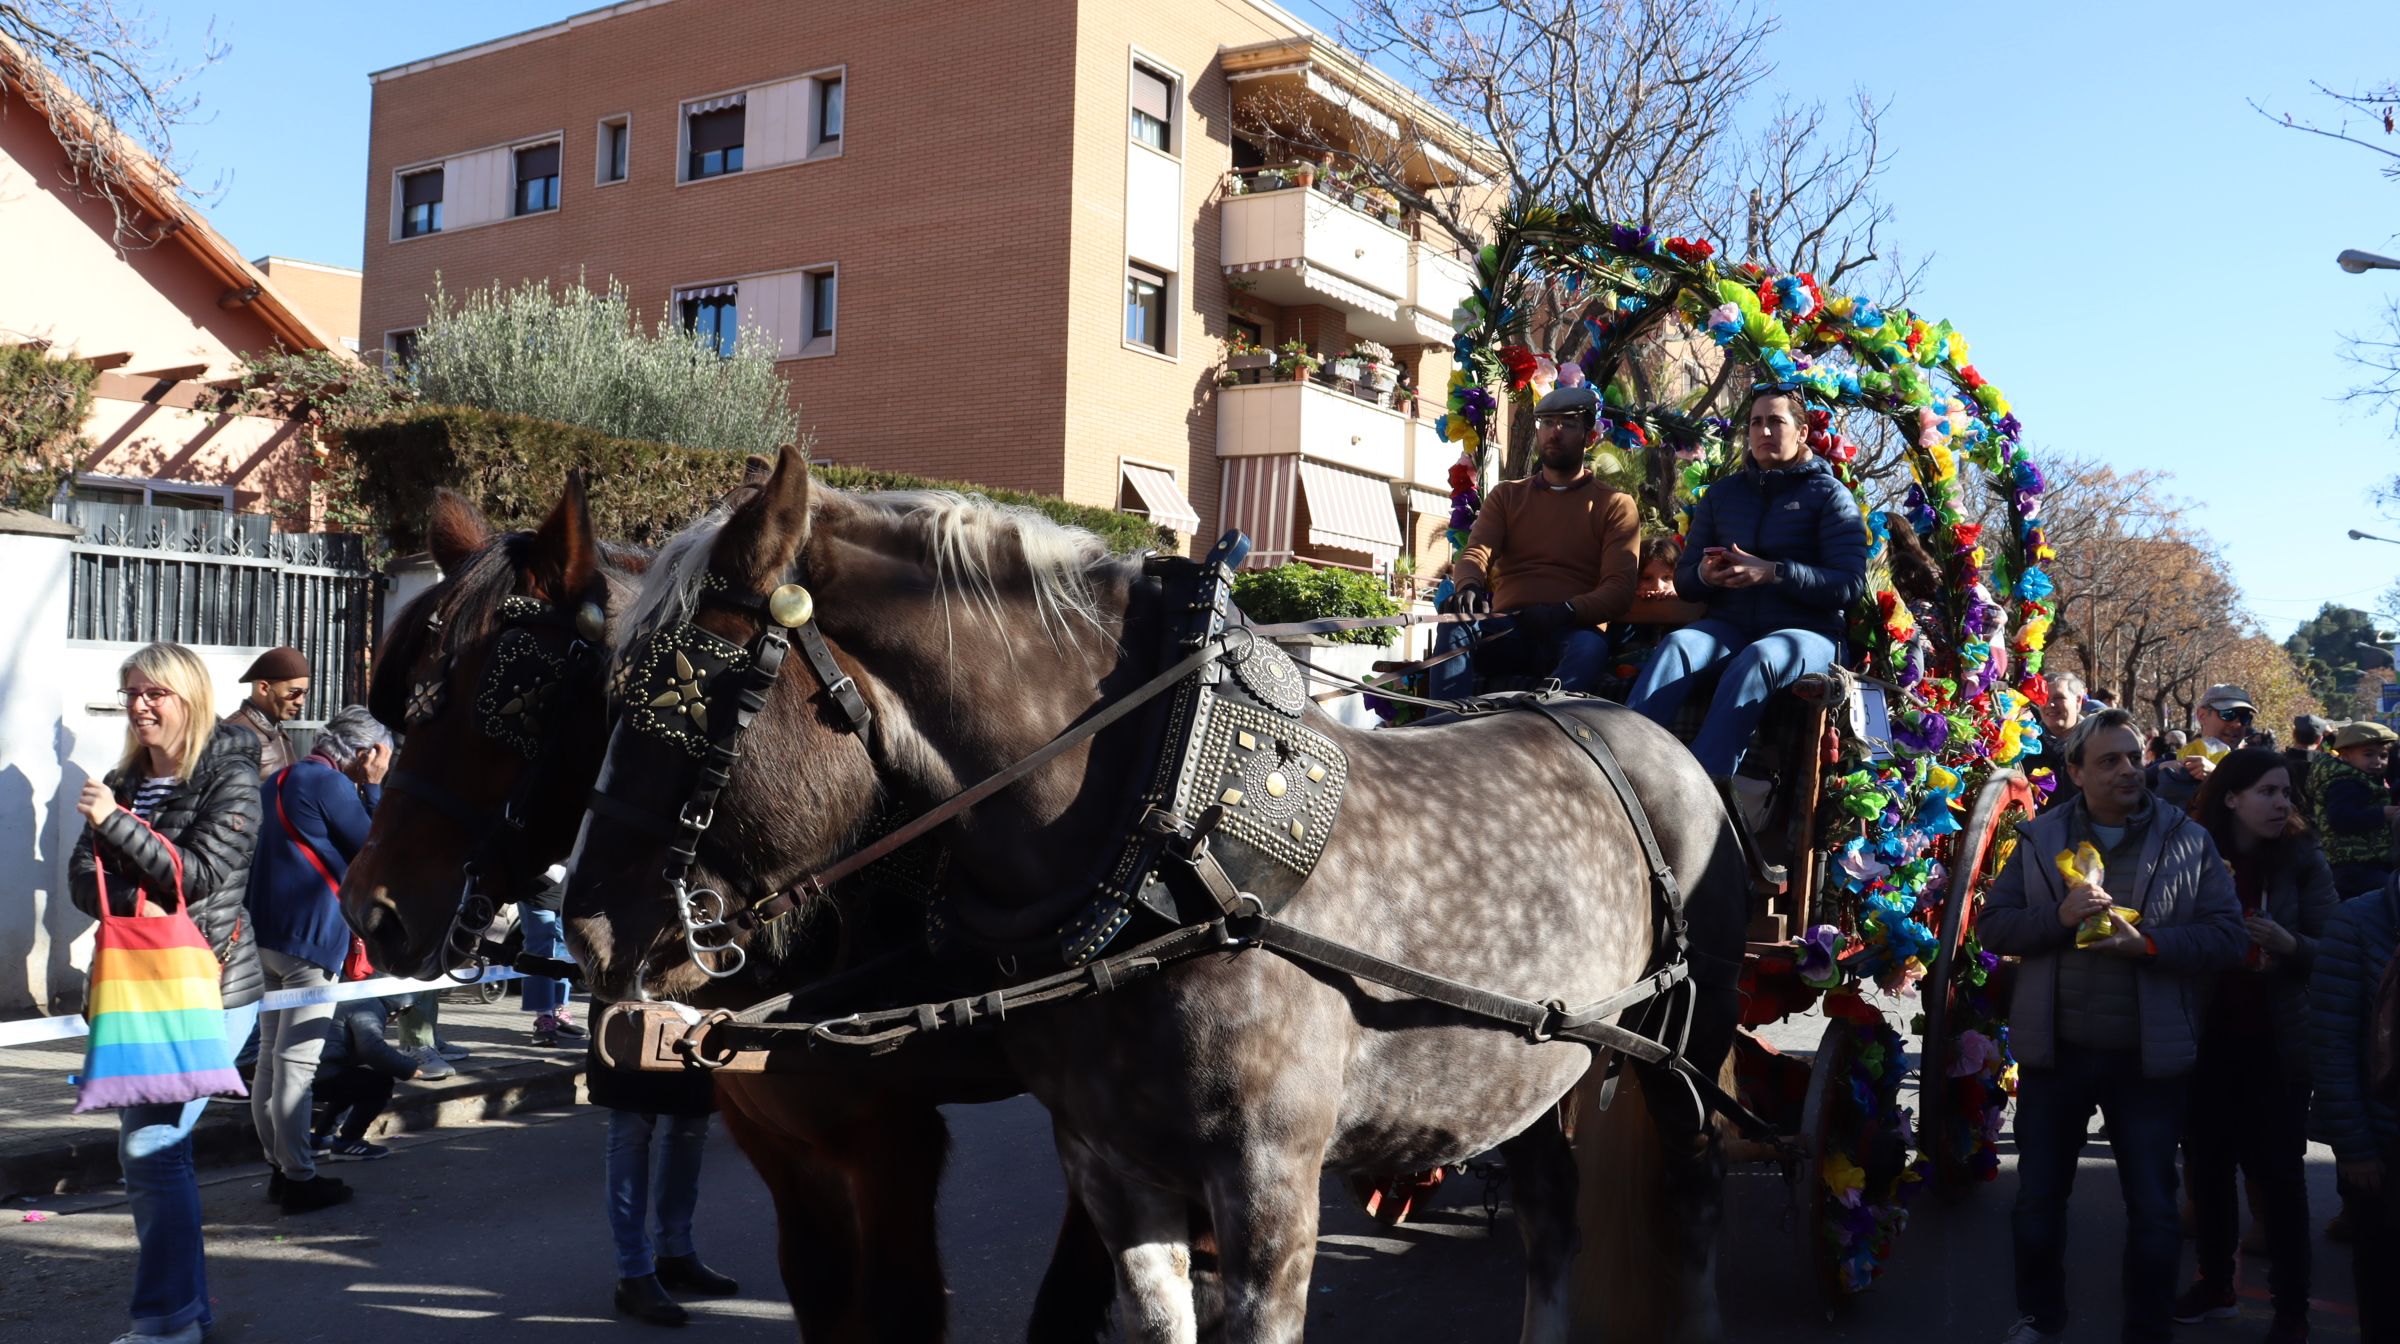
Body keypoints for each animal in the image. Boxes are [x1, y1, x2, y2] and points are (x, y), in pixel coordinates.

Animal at [561, 448, 1747, 1344]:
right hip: (1536, 1061)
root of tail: (1633, 724)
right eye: (604, 689)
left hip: (1679, 1059)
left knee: (1692, 1209)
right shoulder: (1110, 1164)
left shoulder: (1269, 1186)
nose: (588, 927)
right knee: (1552, 1215)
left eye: (690, 692)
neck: (1164, 842)